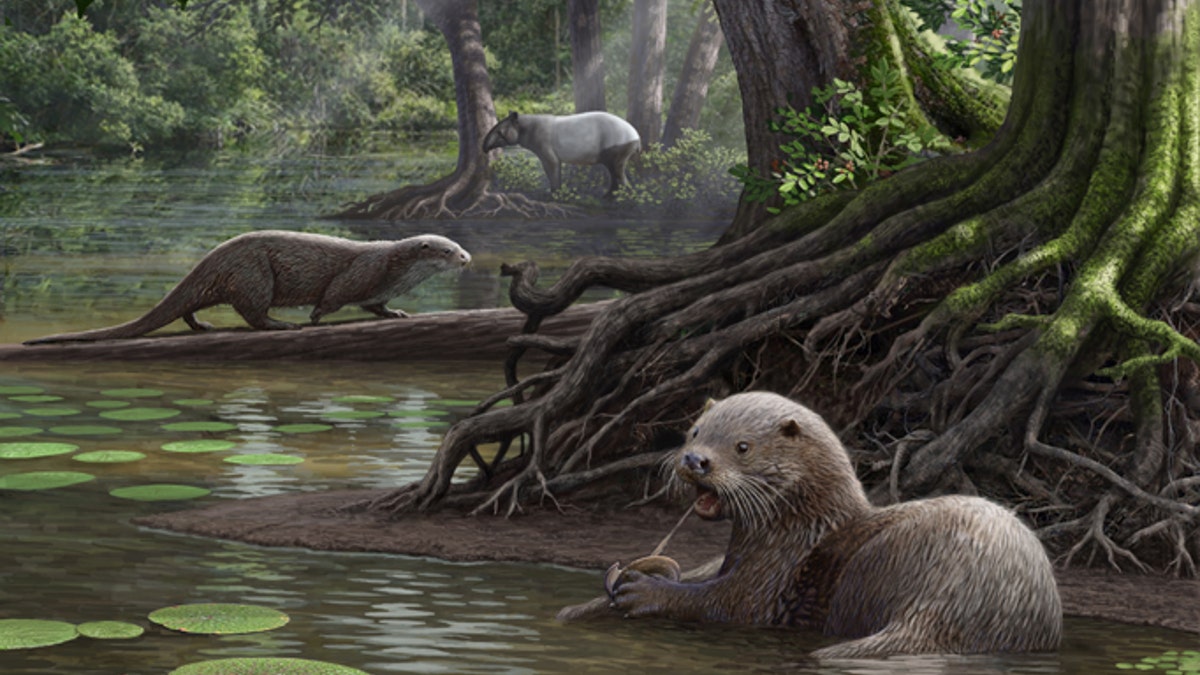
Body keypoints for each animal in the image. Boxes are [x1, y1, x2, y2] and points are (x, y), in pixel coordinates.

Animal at [25, 231, 470, 344]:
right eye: (448, 250)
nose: (467, 258)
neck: (395, 267)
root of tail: (210, 259)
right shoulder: (362, 271)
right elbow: (332, 297)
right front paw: (313, 317)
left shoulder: (379, 289)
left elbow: (376, 307)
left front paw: (396, 312)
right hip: (253, 276)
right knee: (253, 313)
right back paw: (282, 324)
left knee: (190, 308)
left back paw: (202, 326)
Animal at [610, 392, 1062, 659]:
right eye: (695, 431)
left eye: (742, 446)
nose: (695, 460)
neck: (802, 526)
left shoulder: (772, 579)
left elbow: (726, 604)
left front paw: (643, 590)